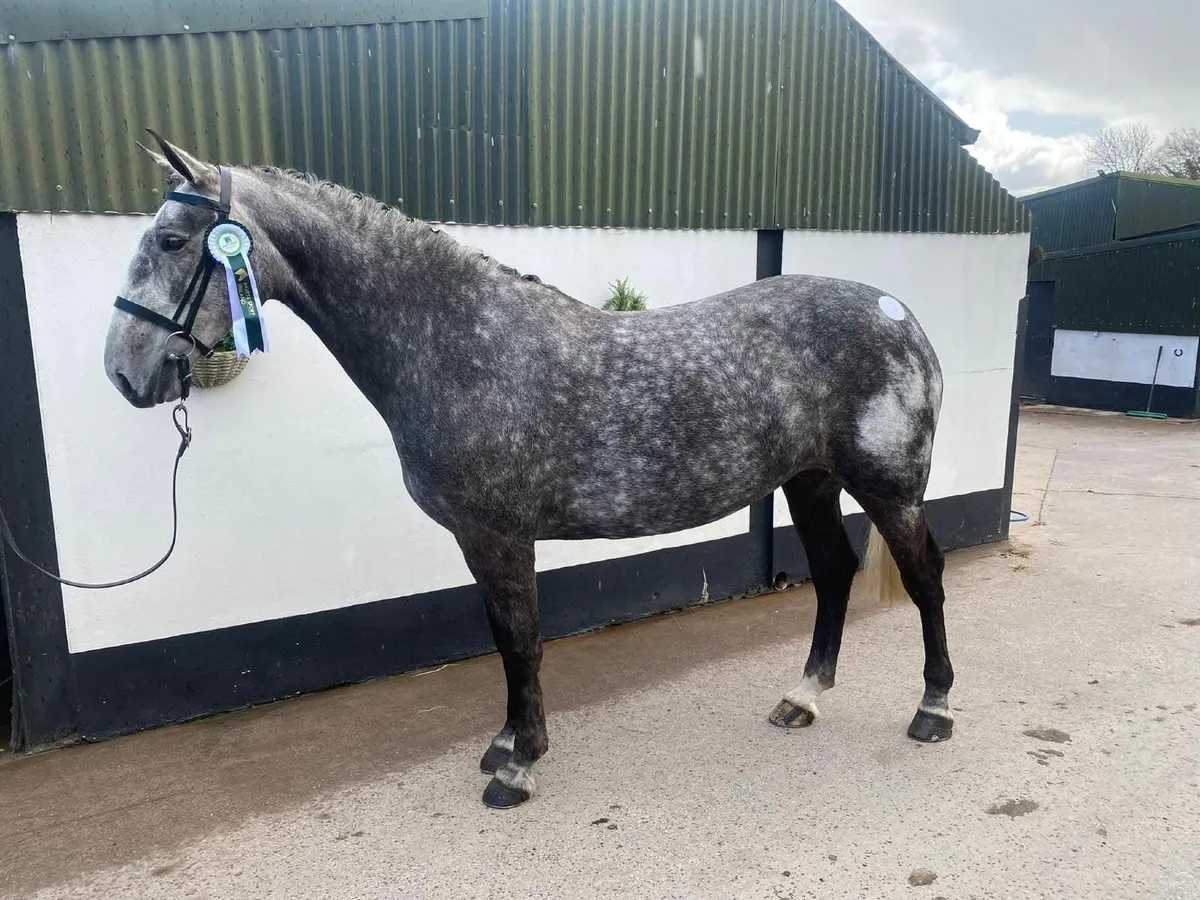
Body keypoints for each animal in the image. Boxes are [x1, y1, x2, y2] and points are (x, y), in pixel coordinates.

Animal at [103, 133, 954, 809]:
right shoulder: (480, 540)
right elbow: (503, 639)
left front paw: (520, 768)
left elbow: (522, 641)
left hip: (888, 487)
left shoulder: (498, 535)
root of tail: (897, 313)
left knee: (923, 578)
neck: (460, 346)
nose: (123, 373)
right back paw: (801, 699)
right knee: (835, 573)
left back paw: (934, 710)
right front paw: (506, 744)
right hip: (809, 479)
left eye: (173, 241)